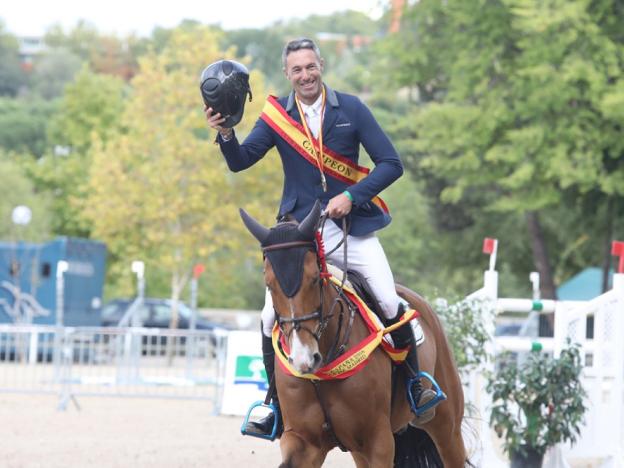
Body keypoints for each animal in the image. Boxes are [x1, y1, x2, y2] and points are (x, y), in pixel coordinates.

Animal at [241, 205, 470, 468]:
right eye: (269, 285)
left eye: (314, 279)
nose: (303, 359)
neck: (324, 370)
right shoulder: (303, 443)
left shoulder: (378, 442)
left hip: (446, 424)